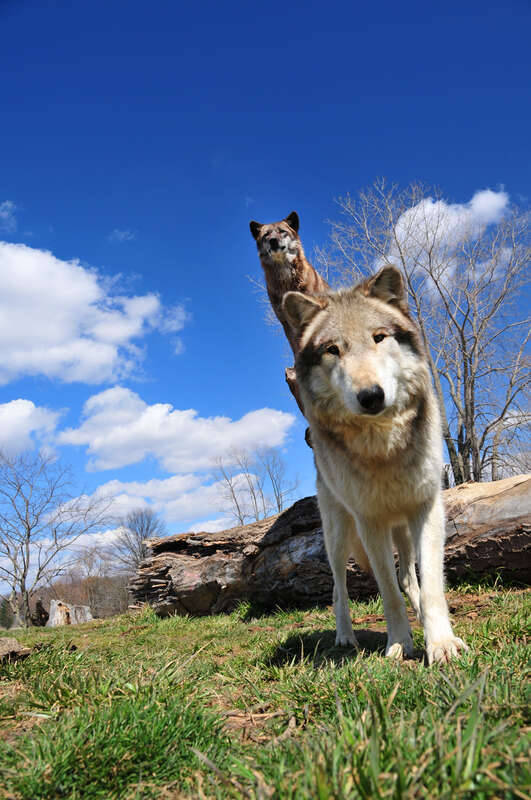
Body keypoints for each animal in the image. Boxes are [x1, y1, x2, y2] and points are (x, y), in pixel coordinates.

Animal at [282, 265, 467, 664]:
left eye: (379, 338)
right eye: (332, 350)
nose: (371, 396)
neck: (383, 447)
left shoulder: (426, 510)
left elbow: (430, 584)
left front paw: (440, 642)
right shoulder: (370, 523)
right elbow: (387, 591)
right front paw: (399, 644)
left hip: (403, 531)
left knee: (409, 578)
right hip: (338, 536)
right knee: (339, 589)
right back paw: (345, 637)